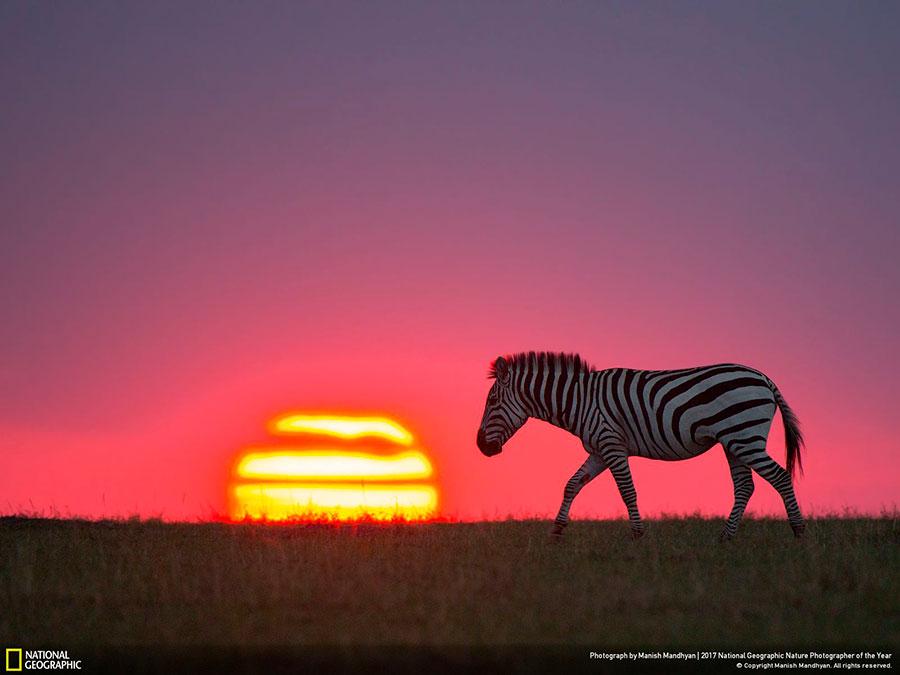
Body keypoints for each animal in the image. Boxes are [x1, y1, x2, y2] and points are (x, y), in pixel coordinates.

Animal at [474, 352, 804, 540]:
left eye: (492, 401)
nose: (480, 447)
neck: (580, 401)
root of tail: (763, 378)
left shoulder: (612, 444)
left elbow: (627, 491)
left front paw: (637, 534)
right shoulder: (598, 450)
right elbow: (571, 484)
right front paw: (556, 531)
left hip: (744, 437)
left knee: (779, 476)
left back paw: (799, 532)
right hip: (734, 441)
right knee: (745, 486)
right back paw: (725, 537)